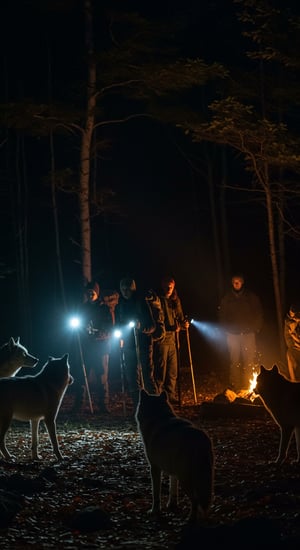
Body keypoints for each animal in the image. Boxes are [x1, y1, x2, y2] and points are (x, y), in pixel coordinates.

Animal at [135, 390, 214, 524]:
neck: (158, 417)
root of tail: (200, 439)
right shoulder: (173, 471)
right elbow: (173, 490)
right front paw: (171, 505)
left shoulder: (155, 468)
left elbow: (156, 493)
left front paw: (154, 511)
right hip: (203, 478)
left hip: (185, 478)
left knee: (195, 499)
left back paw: (191, 519)